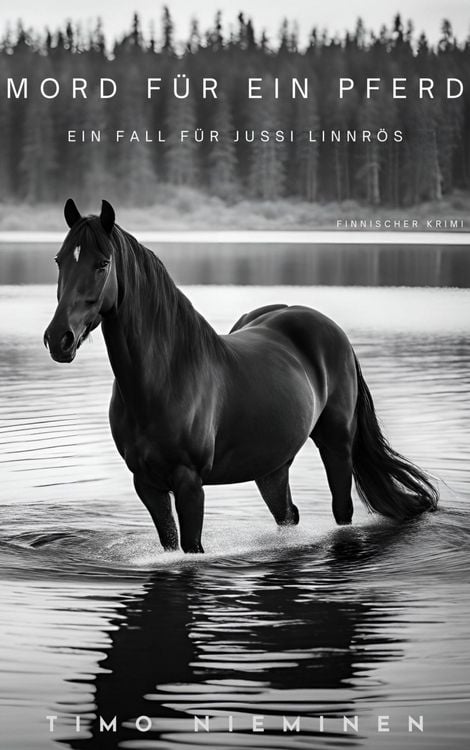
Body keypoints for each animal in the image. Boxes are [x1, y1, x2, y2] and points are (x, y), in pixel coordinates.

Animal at [44, 199, 438, 553]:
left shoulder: (189, 483)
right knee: (287, 515)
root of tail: (328, 327)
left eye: (102, 263)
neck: (164, 378)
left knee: (342, 510)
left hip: (336, 444)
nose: (59, 339)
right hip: (272, 464)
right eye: (59, 260)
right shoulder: (147, 484)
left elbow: (191, 547)